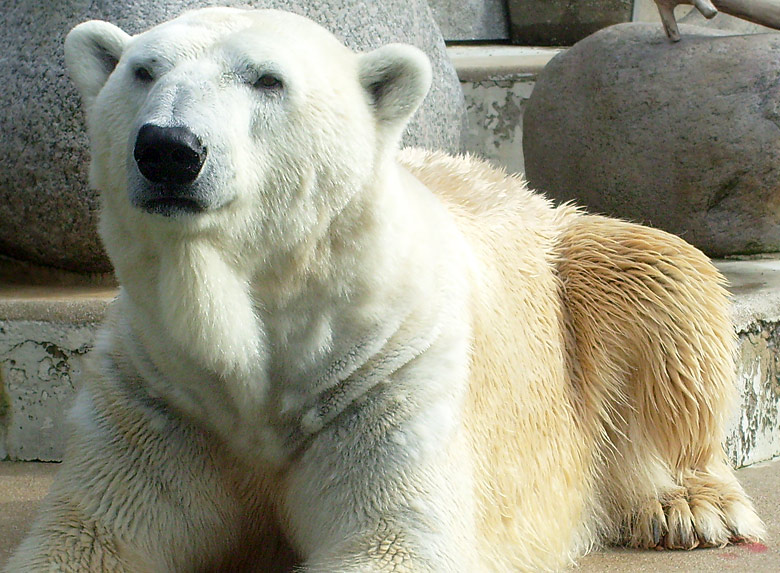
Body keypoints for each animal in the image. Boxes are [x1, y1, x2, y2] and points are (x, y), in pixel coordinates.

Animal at [4, 7, 760, 572]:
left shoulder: (383, 369)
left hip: (573, 263)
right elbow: (91, 535)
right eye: (143, 69)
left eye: (267, 79)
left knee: (660, 281)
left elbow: (393, 537)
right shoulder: (161, 388)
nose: (168, 149)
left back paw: (687, 504)